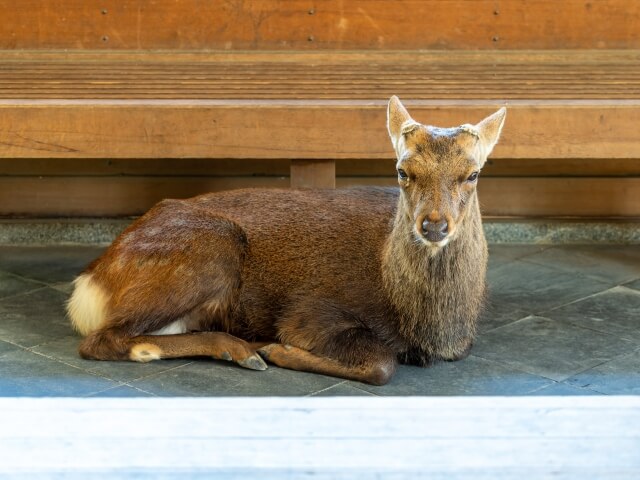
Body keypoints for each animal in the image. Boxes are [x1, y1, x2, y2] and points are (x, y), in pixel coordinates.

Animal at [65, 97, 504, 386]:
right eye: (402, 171)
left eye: (473, 173)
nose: (433, 226)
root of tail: (90, 282)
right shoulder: (311, 310)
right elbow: (382, 364)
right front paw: (280, 350)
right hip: (214, 248)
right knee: (100, 340)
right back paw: (246, 349)